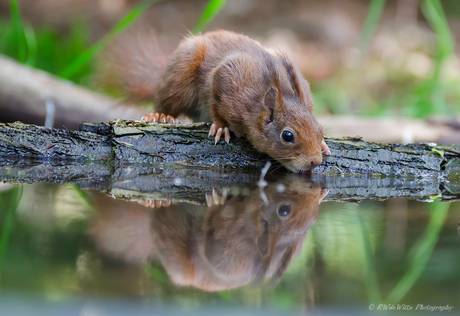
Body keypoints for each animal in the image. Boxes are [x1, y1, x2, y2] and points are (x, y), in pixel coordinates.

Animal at [100, 29, 330, 172]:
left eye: (319, 129)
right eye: (287, 136)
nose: (315, 161)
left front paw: (324, 144)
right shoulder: (228, 77)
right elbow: (215, 100)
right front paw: (221, 126)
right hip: (180, 74)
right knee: (165, 101)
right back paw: (161, 115)